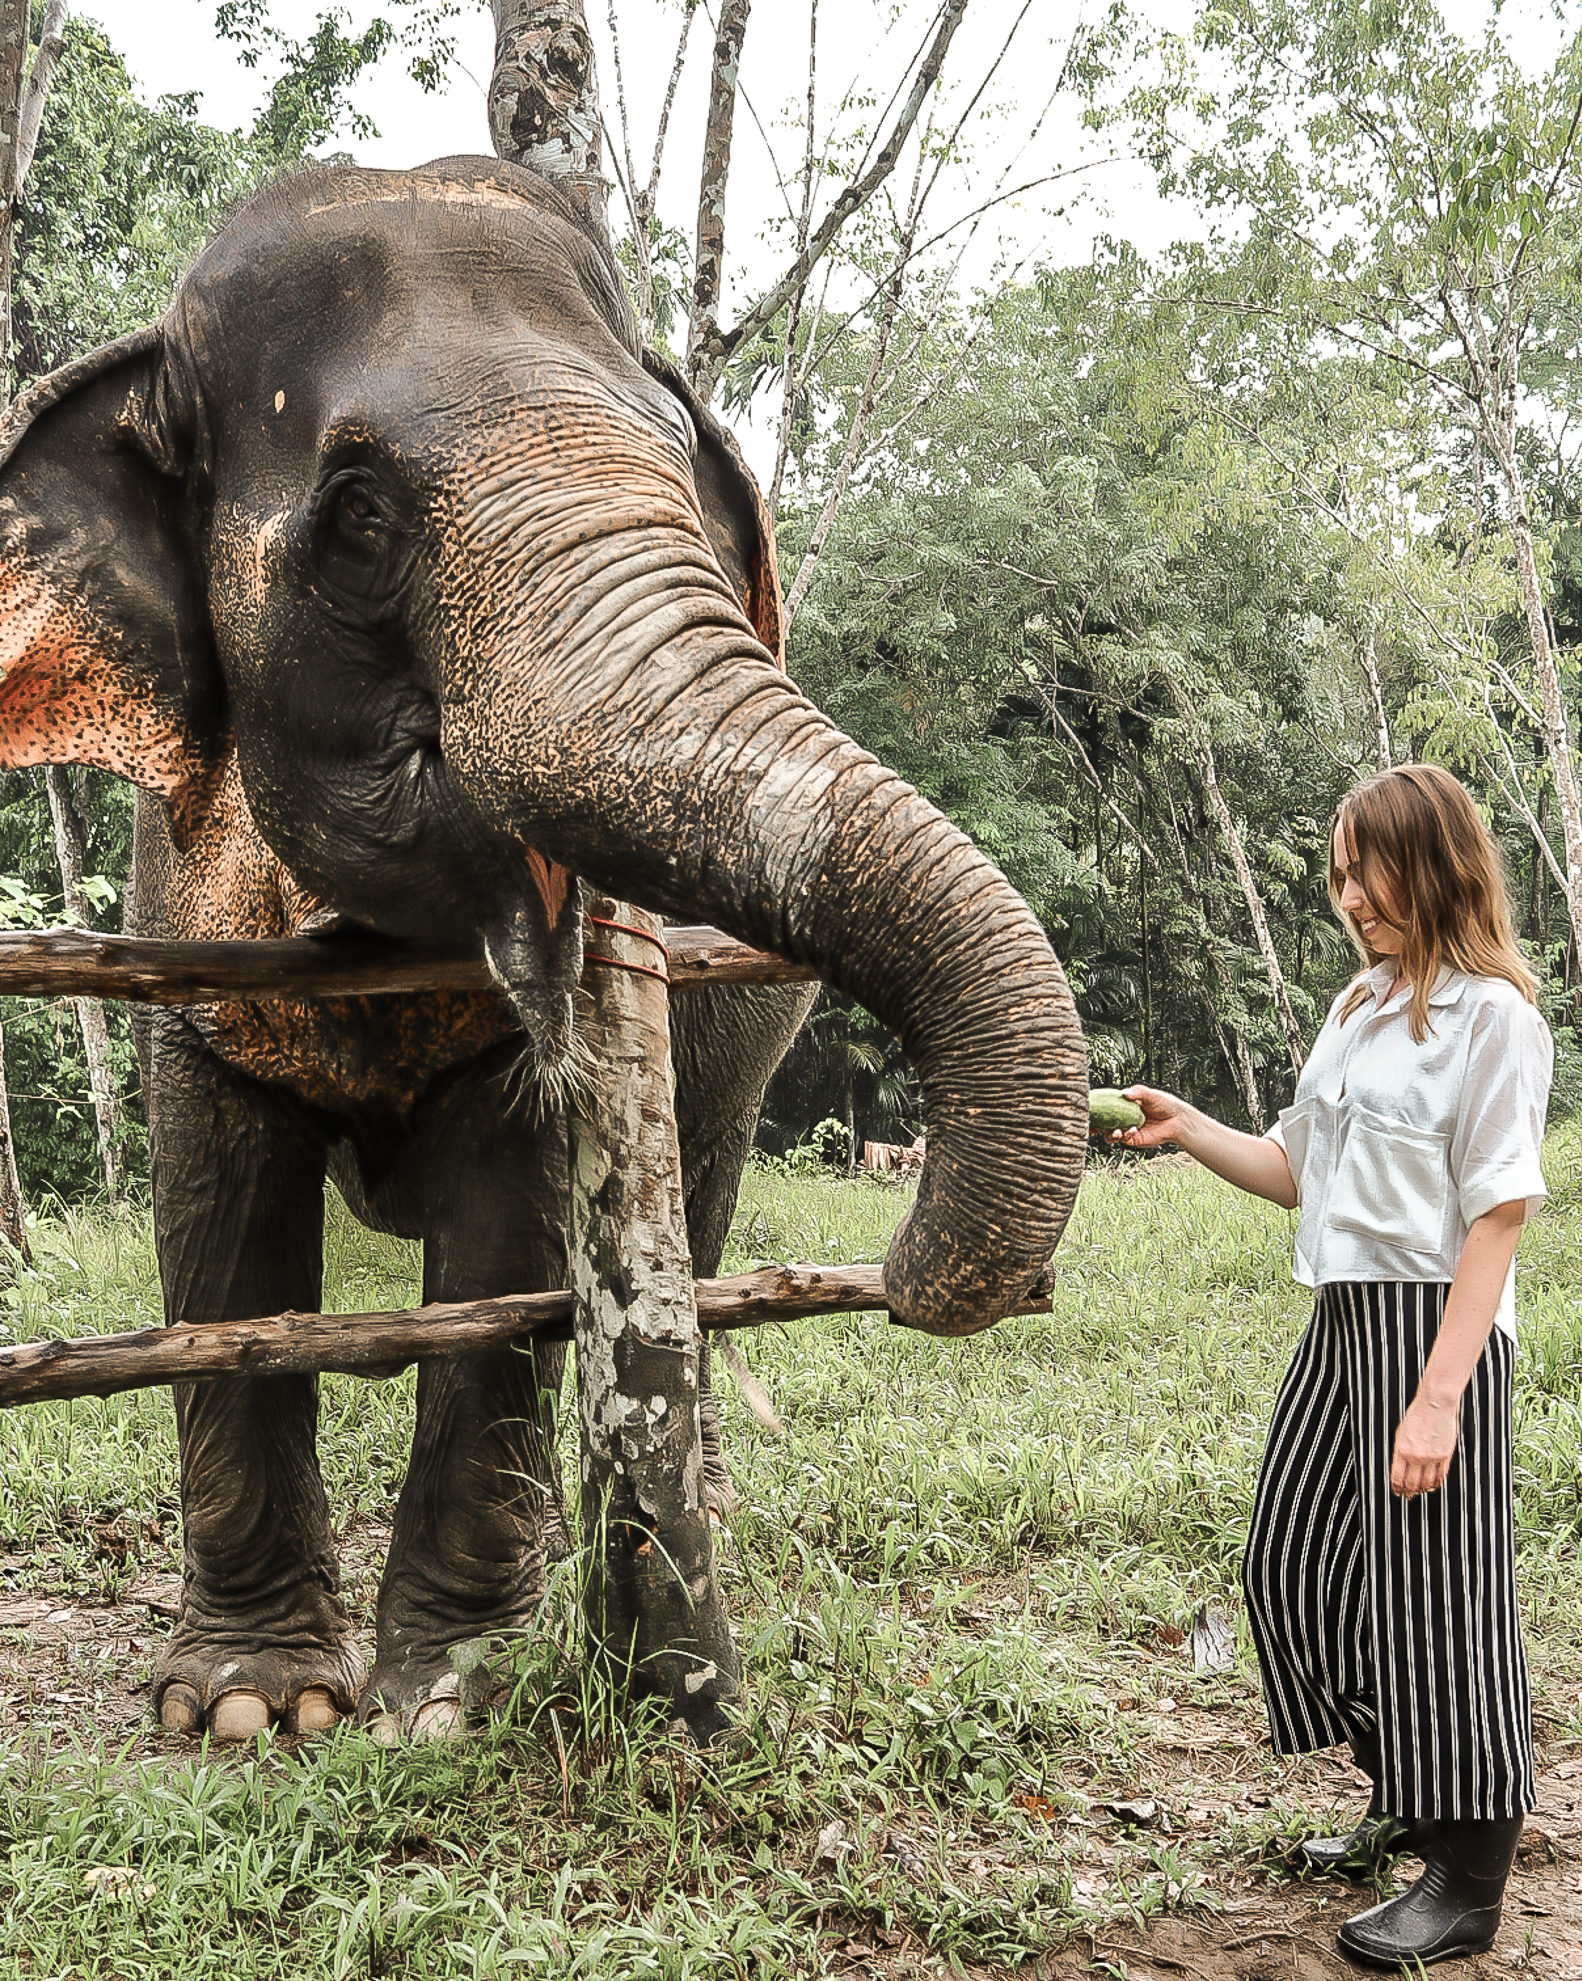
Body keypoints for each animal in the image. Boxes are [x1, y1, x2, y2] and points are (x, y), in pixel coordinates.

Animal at [0, 155, 1087, 1742]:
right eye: (361, 515)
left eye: (683, 469)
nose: (911, 1264)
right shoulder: (173, 911)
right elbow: (219, 1220)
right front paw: (255, 1708)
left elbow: (505, 1240)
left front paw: (447, 1691)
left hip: (742, 1059)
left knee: (694, 1208)